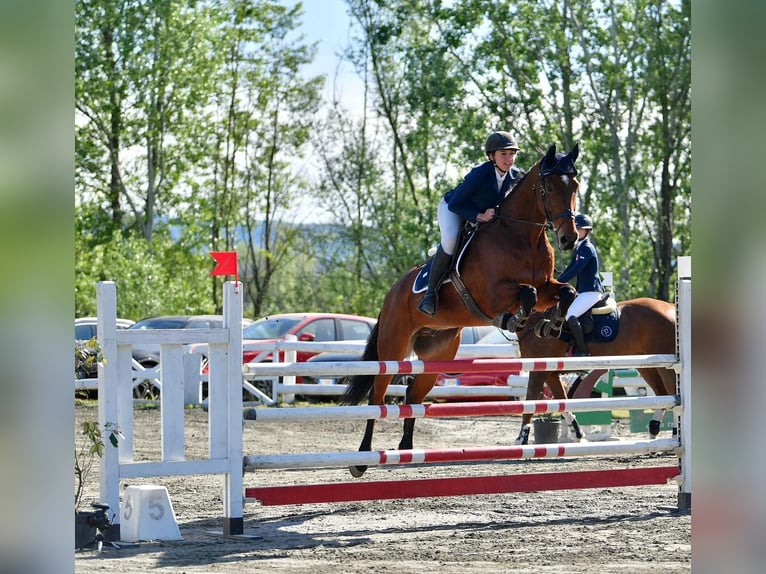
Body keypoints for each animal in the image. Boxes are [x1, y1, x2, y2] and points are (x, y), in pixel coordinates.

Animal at [342, 146, 584, 480]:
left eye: (575, 186)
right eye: (548, 187)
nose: (568, 239)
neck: (522, 235)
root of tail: (391, 293)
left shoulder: (547, 285)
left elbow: (566, 292)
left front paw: (550, 326)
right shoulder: (492, 294)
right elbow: (526, 293)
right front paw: (514, 319)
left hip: (438, 353)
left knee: (413, 395)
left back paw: (407, 450)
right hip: (393, 348)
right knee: (377, 398)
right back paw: (362, 459)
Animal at [516, 300, 680, 448]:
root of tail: (672, 307)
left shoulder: (538, 372)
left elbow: (530, 401)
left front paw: (521, 439)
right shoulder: (550, 374)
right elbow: (563, 403)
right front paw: (578, 434)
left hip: (666, 367)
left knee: (673, 392)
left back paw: (673, 434)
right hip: (648, 366)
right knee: (663, 395)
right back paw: (654, 431)